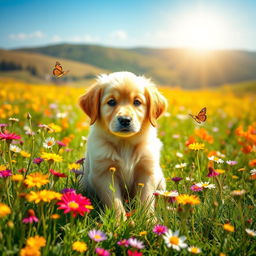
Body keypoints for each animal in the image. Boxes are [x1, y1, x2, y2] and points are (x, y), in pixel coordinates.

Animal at [79, 71, 167, 220]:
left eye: (137, 102)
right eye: (111, 102)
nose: (125, 120)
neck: (125, 144)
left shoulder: (147, 170)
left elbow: (146, 198)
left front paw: (148, 220)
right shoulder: (104, 173)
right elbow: (114, 202)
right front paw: (119, 221)